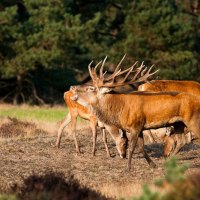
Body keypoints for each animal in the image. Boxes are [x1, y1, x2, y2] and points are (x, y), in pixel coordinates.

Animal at [70, 57, 200, 170]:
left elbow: (132, 147)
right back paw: (168, 162)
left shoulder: (135, 125)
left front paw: (128, 167)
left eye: (91, 88)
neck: (120, 109)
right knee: (181, 141)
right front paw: (153, 164)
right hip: (178, 123)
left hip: (192, 119)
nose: (73, 88)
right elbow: (141, 147)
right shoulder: (140, 127)